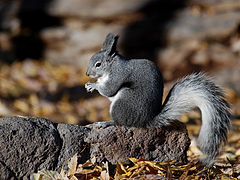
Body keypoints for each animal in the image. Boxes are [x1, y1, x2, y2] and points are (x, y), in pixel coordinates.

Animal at [84, 33, 231, 167]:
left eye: (98, 64)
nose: (87, 74)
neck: (112, 67)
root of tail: (145, 121)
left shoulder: (117, 76)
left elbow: (109, 90)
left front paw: (93, 85)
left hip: (122, 103)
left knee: (119, 123)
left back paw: (105, 123)